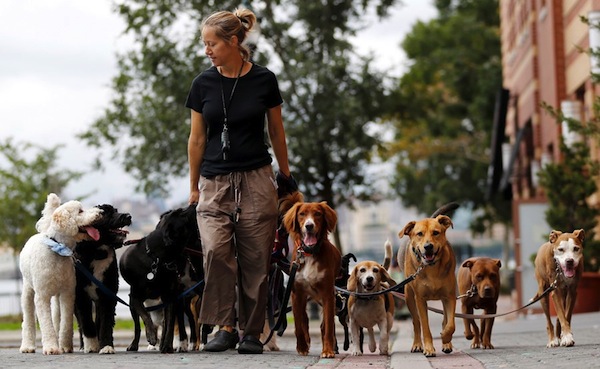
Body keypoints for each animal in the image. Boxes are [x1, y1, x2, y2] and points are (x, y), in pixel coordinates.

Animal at [19, 193, 102, 354]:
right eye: (80, 211)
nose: (99, 213)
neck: (57, 248)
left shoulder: (67, 293)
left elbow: (66, 322)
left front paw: (64, 345)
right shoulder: (42, 296)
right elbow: (46, 324)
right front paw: (51, 348)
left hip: (56, 297)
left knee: (56, 318)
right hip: (28, 289)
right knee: (28, 319)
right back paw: (27, 346)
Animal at [73, 203, 131, 352]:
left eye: (116, 211)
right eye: (105, 214)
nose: (128, 216)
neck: (98, 251)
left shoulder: (107, 294)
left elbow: (105, 322)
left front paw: (106, 346)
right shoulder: (81, 296)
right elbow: (86, 322)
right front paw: (91, 345)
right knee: (81, 323)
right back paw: (83, 345)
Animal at [119, 203, 204, 352]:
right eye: (180, 212)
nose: (194, 204)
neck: (156, 259)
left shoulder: (170, 297)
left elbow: (169, 324)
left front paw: (167, 346)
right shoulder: (135, 297)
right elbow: (145, 316)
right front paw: (152, 336)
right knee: (137, 325)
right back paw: (135, 344)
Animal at [282, 200, 340, 358]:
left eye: (318, 214)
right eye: (302, 214)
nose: (309, 226)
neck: (310, 253)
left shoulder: (328, 294)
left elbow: (328, 327)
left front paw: (328, 350)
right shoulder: (296, 294)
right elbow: (298, 324)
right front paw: (302, 347)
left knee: (324, 324)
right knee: (304, 319)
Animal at [398, 214, 454, 356]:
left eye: (436, 232)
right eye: (419, 234)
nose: (428, 246)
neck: (431, 267)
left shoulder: (450, 297)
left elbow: (450, 323)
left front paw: (446, 337)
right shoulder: (420, 299)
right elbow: (424, 325)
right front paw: (428, 348)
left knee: (445, 319)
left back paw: (446, 344)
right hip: (409, 297)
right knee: (416, 322)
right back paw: (417, 344)